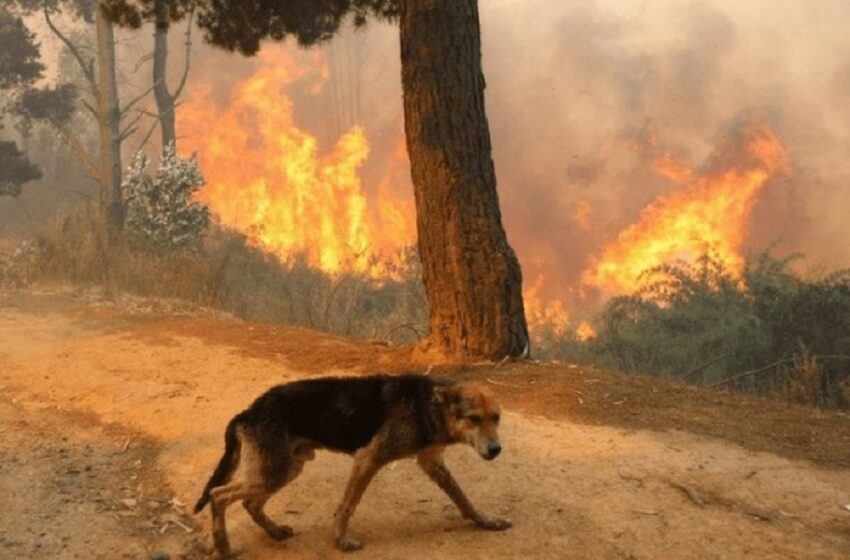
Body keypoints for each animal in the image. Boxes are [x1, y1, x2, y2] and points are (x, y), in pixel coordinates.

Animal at [192, 372, 510, 556]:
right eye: (473, 419)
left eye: (496, 418)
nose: (496, 450)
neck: (429, 405)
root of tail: (249, 411)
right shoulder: (368, 459)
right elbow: (347, 506)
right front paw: (341, 540)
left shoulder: (433, 464)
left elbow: (463, 499)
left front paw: (486, 521)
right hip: (275, 472)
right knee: (218, 495)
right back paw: (223, 546)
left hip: (285, 469)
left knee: (249, 503)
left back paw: (275, 532)